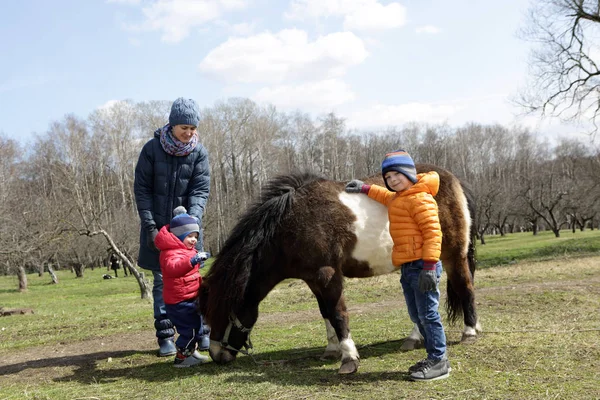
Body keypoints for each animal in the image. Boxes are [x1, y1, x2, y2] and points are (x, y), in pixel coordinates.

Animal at [199, 164, 480, 374]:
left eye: (225, 312)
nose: (216, 355)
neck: (290, 225)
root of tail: (453, 180)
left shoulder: (328, 275)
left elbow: (338, 313)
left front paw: (349, 358)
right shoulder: (313, 279)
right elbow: (325, 313)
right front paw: (332, 349)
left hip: (454, 256)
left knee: (465, 287)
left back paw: (469, 331)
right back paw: (415, 338)